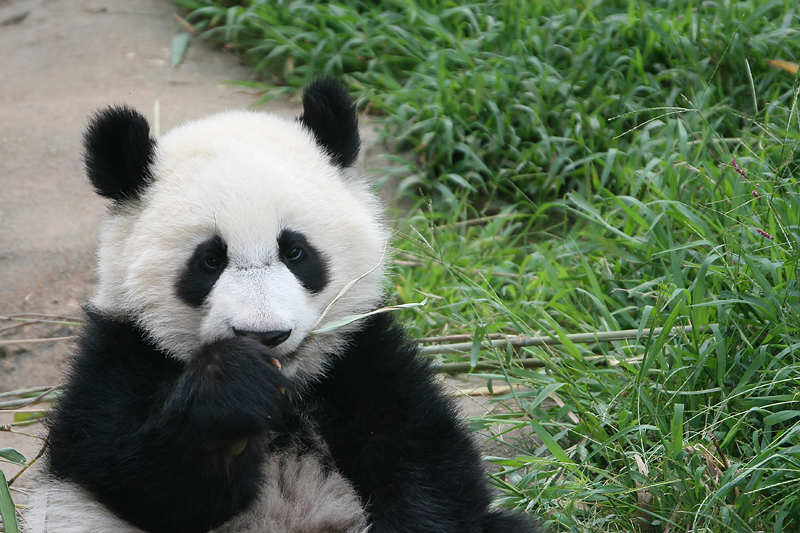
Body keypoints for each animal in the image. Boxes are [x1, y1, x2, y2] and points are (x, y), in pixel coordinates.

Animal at [25, 79, 540, 532]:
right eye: (210, 261)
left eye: (295, 251)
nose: (264, 334)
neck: (289, 389)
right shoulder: (119, 355)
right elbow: (141, 476)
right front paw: (233, 392)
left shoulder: (361, 353)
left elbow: (422, 459)